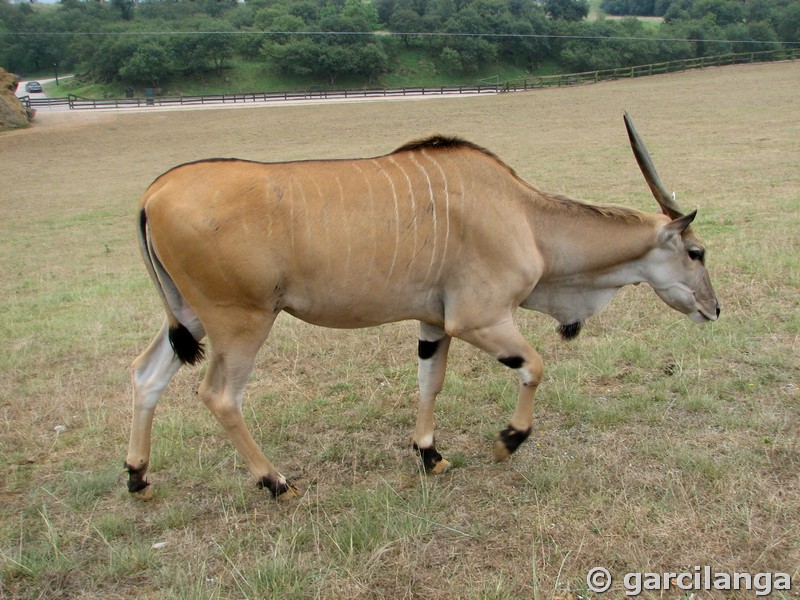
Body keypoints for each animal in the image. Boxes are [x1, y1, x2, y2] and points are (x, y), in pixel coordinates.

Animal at [125, 115, 720, 500]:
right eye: (696, 252)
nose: (714, 310)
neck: (525, 215)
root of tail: (153, 195)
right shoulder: (479, 319)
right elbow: (534, 367)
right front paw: (507, 441)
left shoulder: (434, 322)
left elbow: (430, 382)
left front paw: (430, 455)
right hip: (241, 322)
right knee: (220, 396)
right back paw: (275, 482)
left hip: (192, 318)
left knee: (146, 374)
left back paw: (137, 476)